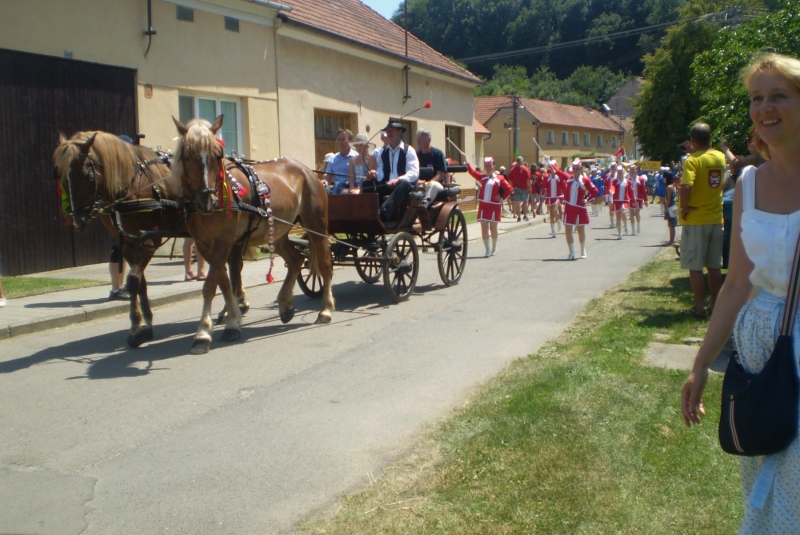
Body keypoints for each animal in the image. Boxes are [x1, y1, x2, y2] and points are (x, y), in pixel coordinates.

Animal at [53, 130, 184, 348]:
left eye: (86, 175)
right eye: (61, 176)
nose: (77, 220)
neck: (130, 186)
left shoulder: (149, 241)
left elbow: (132, 280)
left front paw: (137, 326)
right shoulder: (129, 245)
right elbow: (139, 283)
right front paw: (143, 325)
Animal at [173, 115, 336, 354]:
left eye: (217, 155)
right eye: (187, 156)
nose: (207, 201)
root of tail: (308, 171)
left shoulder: (224, 241)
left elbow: (211, 284)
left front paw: (203, 333)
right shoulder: (205, 244)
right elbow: (224, 281)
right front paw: (232, 319)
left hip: (316, 225)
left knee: (324, 264)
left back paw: (325, 310)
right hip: (278, 232)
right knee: (296, 260)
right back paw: (285, 305)